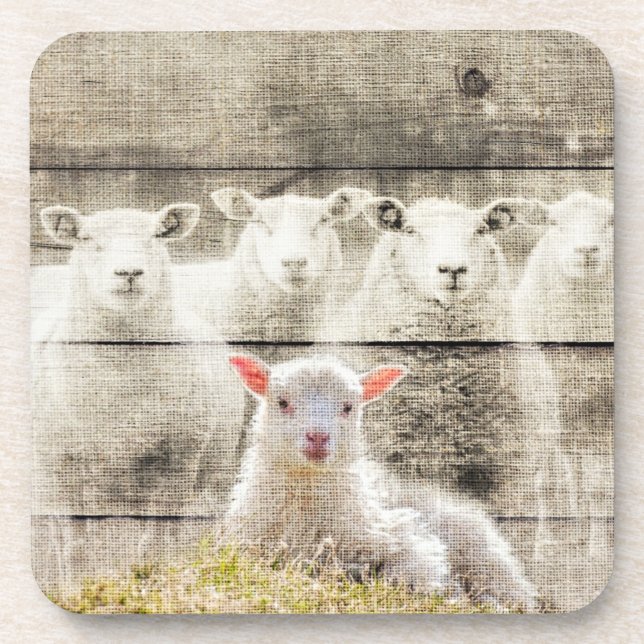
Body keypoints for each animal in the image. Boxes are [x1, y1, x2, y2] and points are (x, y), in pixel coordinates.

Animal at [224, 354, 538, 611]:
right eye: (282, 402)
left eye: (348, 407)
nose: (318, 437)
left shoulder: (408, 540)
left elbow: (412, 575)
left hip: (484, 558)